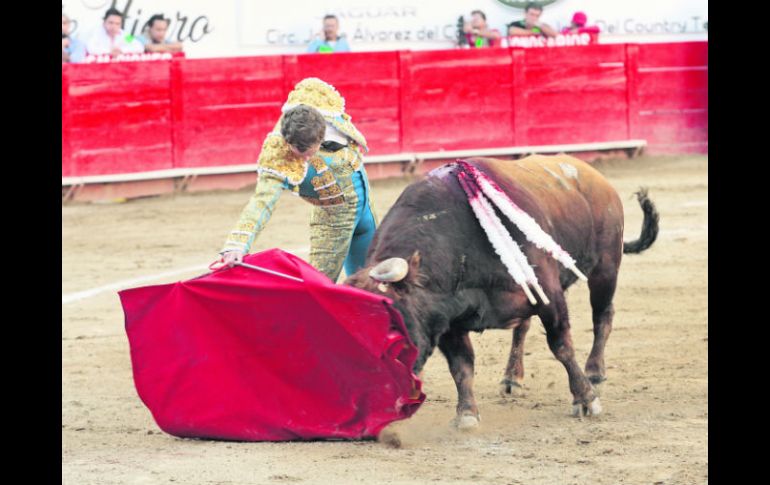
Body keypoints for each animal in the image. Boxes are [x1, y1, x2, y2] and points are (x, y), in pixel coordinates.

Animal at [344, 155, 656, 428]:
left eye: (392, 326)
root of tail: (595, 177)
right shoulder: (449, 320)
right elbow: (461, 366)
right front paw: (467, 414)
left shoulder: (549, 293)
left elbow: (561, 346)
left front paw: (586, 399)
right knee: (523, 328)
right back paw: (512, 377)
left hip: (605, 268)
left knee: (602, 315)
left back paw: (595, 372)